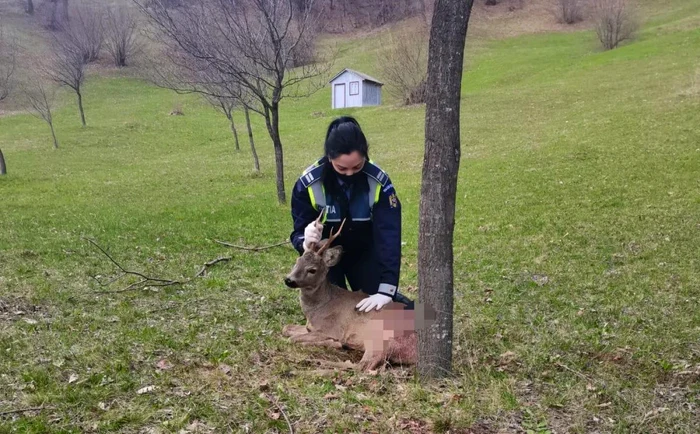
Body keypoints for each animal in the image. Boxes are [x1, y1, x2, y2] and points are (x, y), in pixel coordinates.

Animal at [280, 216, 424, 370]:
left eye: (312, 269)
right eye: (297, 261)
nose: (289, 280)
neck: (317, 309)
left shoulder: (331, 329)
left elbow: (292, 339)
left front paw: (334, 343)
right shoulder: (310, 328)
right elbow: (286, 328)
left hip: (380, 336)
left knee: (363, 366)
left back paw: (320, 361)